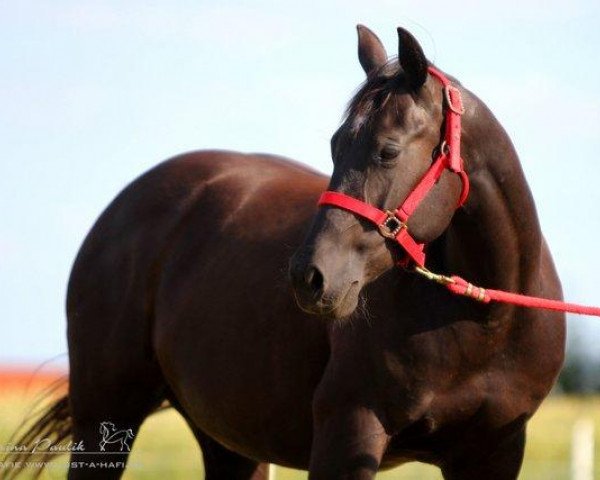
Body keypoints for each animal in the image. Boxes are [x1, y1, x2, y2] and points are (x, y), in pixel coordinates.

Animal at [12, 25, 568, 480]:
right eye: (334, 145)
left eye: (388, 150)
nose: (309, 277)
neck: (483, 323)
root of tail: (121, 209)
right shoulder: (348, 434)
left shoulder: (493, 454)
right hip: (105, 416)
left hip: (230, 442)